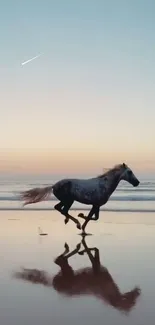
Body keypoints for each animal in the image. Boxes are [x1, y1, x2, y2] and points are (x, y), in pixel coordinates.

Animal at [13, 237, 141, 312]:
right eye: (131, 303)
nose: (138, 291)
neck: (106, 289)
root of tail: (52, 284)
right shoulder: (97, 269)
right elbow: (93, 251)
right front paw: (83, 249)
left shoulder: (97, 266)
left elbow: (95, 251)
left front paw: (83, 249)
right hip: (67, 271)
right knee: (59, 259)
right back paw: (73, 247)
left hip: (68, 269)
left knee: (60, 259)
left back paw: (73, 247)